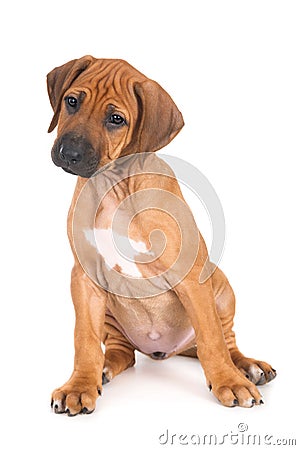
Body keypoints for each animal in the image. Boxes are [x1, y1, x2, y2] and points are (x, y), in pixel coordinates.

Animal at [47, 55, 276, 414]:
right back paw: (103, 368)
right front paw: (79, 385)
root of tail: (168, 351)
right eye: (72, 102)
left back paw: (246, 367)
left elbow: (211, 339)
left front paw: (229, 382)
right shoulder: (84, 277)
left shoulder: (191, 276)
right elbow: (84, 339)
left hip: (221, 288)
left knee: (224, 340)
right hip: (111, 315)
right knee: (121, 352)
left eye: (116, 119)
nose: (69, 154)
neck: (115, 185)